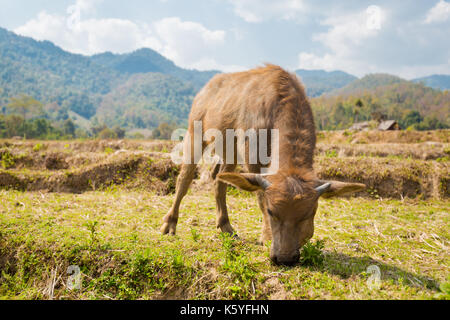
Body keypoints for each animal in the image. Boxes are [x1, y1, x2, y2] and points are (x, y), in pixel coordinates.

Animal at [162, 64, 366, 264]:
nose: (285, 258)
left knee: (218, 180)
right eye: (271, 211)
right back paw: (170, 222)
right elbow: (260, 196)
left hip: (230, 150)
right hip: (195, 134)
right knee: (184, 178)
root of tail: (205, 90)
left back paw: (225, 225)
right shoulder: (252, 156)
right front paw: (266, 237)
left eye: (309, 213)